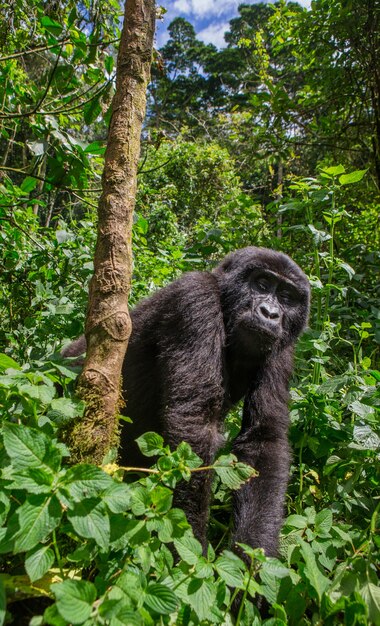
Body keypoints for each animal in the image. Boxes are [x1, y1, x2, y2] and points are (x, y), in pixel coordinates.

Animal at [63, 246, 310, 552]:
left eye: (287, 297)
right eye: (262, 284)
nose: (270, 313)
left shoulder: (284, 348)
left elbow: (264, 439)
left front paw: (252, 554)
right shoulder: (195, 297)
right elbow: (193, 426)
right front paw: (187, 548)